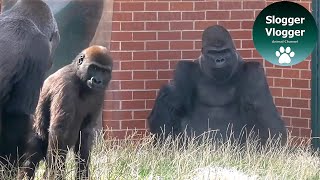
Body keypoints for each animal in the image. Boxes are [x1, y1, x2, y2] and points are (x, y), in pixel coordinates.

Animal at [21, 45, 112, 180]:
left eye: (104, 71)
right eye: (94, 68)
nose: (97, 80)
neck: (79, 77)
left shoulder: (99, 93)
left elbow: (85, 134)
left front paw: (83, 173)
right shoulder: (66, 85)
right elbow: (59, 130)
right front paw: (55, 173)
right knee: (30, 162)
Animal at [148, 25, 288, 145]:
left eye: (224, 51)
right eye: (213, 53)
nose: (219, 60)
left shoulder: (254, 73)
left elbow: (267, 115)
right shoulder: (183, 71)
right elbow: (171, 108)